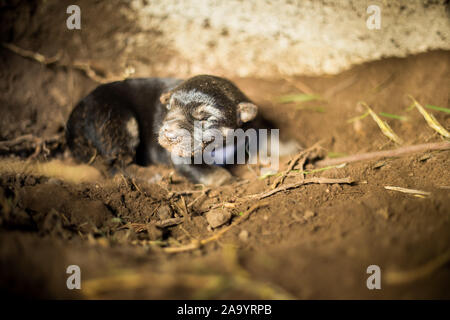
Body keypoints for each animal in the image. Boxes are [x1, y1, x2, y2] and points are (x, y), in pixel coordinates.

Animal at [65, 75, 258, 185]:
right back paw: (153, 175)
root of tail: (74, 116)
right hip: (120, 121)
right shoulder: (180, 158)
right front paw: (232, 181)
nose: (169, 134)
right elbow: (214, 175)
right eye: (168, 107)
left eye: (205, 119)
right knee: (115, 166)